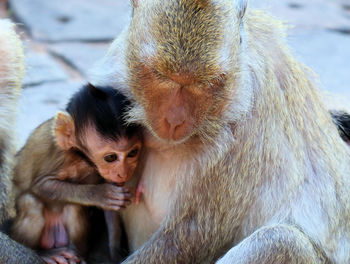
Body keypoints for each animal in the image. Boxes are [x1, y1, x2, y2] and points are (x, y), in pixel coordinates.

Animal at [11, 83, 142, 262]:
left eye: (132, 153)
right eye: (110, 157)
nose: (123, 173)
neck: (82, 158)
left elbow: (111, 211)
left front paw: (115, 254)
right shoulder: (59, 156)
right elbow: (42, 185)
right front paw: (100, 194)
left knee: (74, 207)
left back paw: (78, 255)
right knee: (31, 204)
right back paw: (43, 253)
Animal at [91, 0, 350, 262]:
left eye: (205, 83)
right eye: (160, 75)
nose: (175, 120)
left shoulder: (242, 140)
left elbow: (188, 236)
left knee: (282, 241)